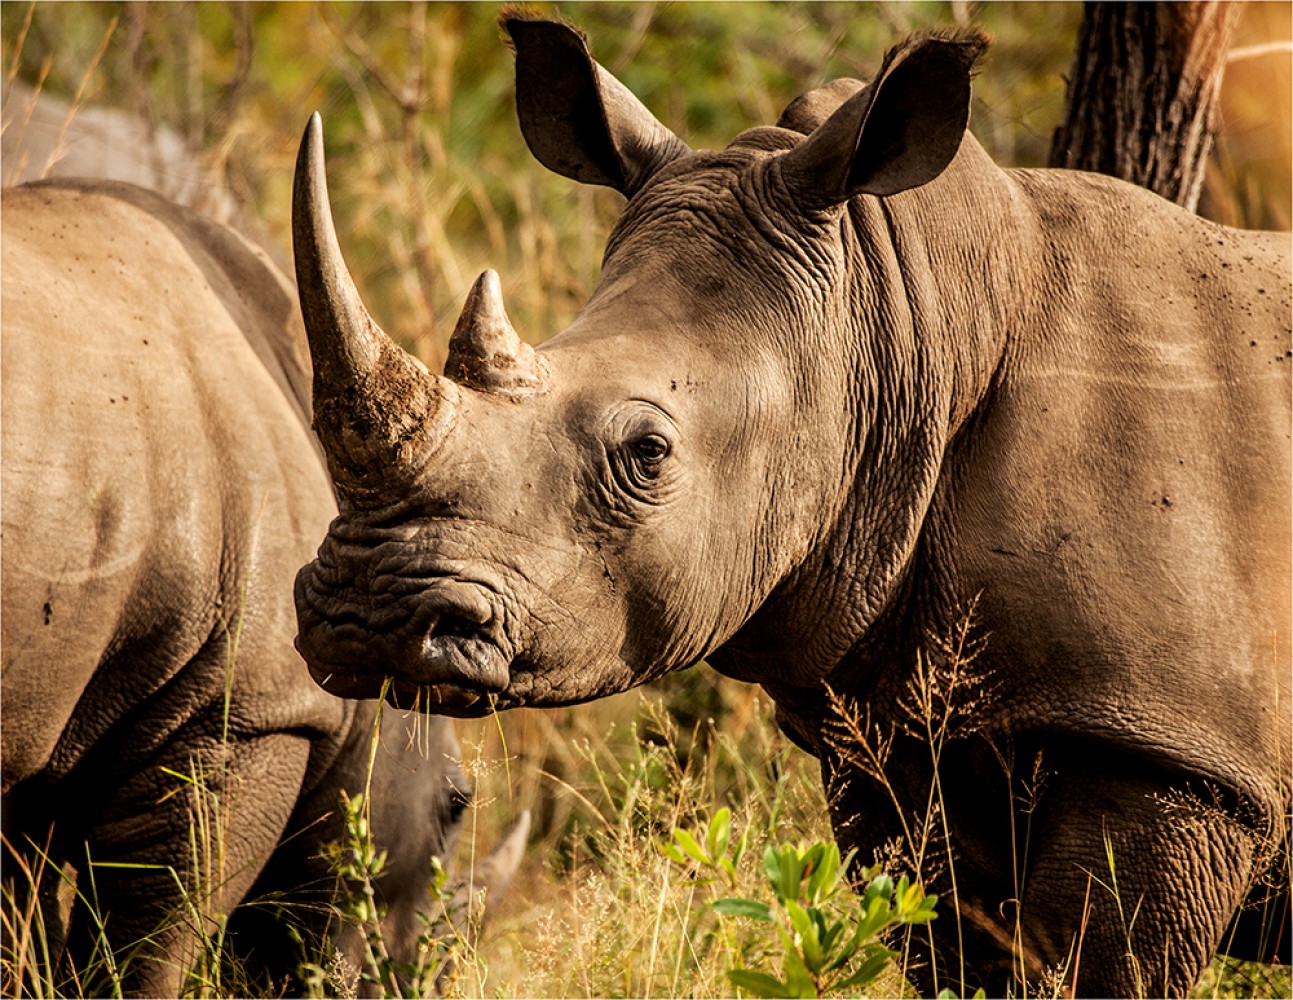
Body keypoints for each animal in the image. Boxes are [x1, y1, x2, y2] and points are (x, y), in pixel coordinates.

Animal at [289, 16, 1291, 998]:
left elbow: (1101, 961)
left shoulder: (1176, 761)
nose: (364, 620)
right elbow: (948, 940)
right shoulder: (891, 745)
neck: (902, 318)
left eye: (646, 453)